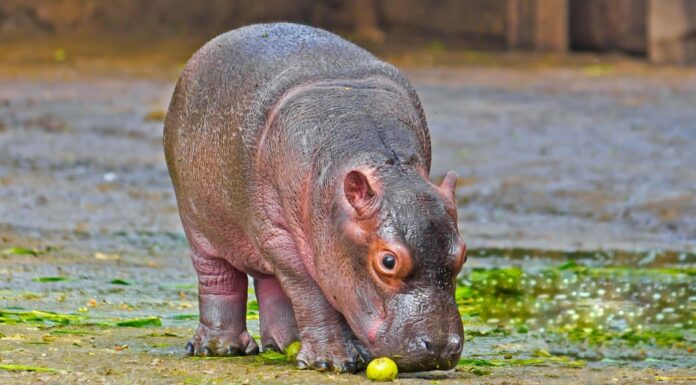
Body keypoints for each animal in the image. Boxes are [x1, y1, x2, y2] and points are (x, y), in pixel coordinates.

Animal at [164, 22, 468, 370]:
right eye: (388, 261)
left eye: (463, 254)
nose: (441, 348)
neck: (385, 165)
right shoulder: (280, 236)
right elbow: (311, 293)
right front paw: (330, 362)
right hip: (202, 226)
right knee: (218, 279)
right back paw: (218, 348)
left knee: (271, 284)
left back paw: (284, 345)